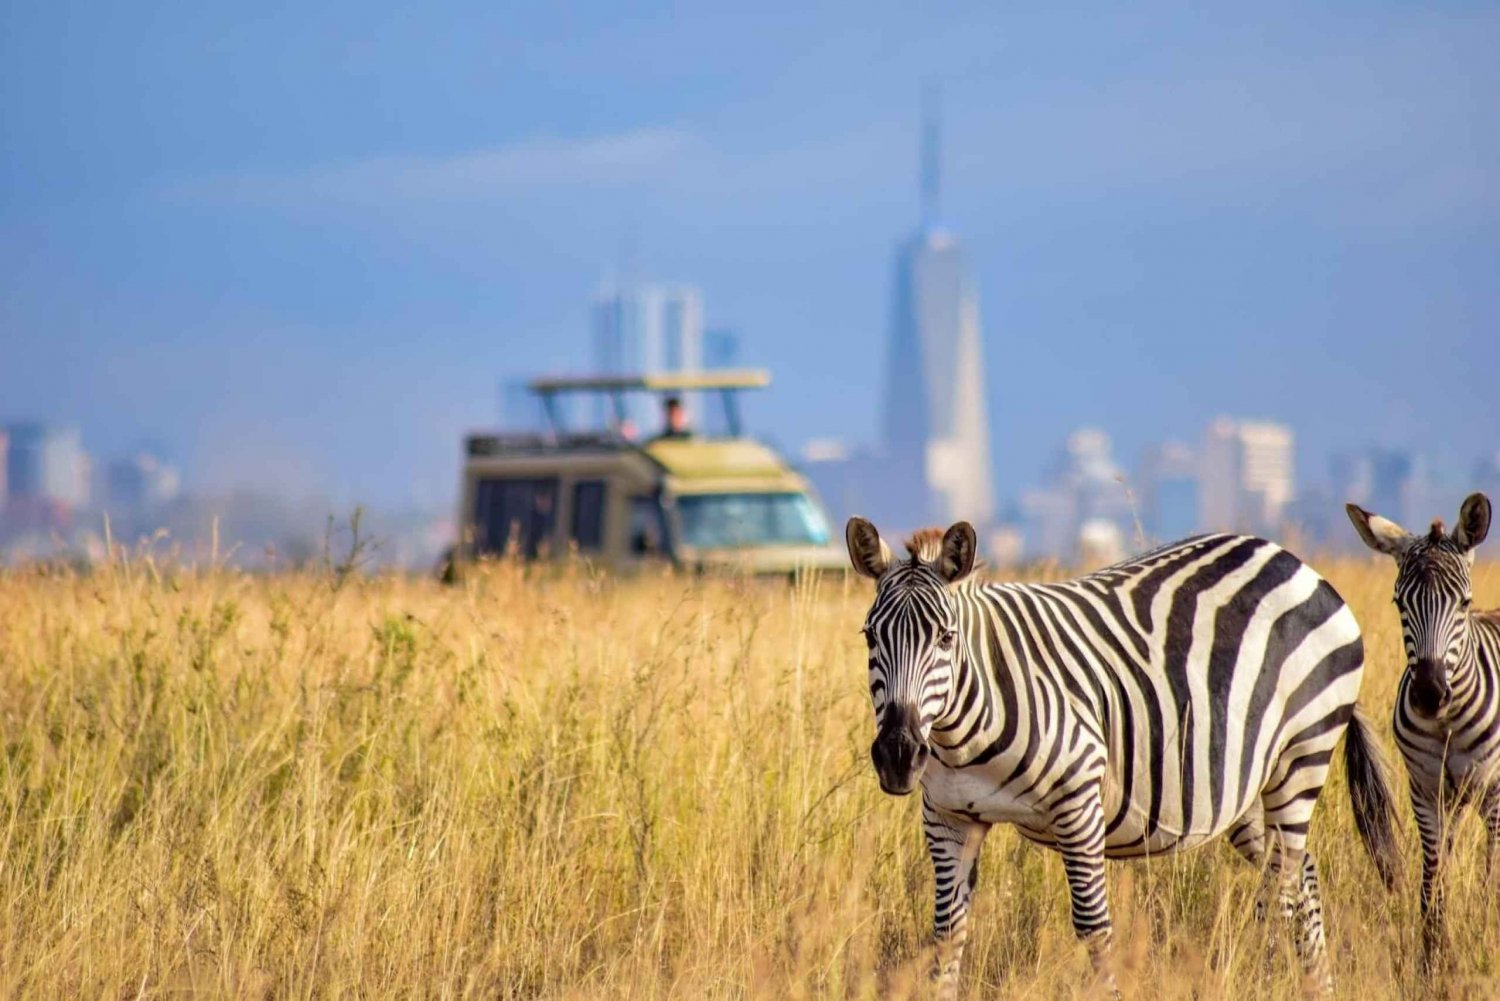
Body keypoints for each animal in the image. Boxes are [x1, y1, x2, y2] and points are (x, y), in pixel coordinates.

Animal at [846, 522, 1404, 996]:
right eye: (870, 637)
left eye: (946, 638)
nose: (898, 755)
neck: (962, 732)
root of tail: (1293, 560)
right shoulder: (948, 817)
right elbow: (946, 934)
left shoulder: (1078, 801)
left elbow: (1094, 929)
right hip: (1240, 785)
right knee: (1301, 870)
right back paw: (1318, 987)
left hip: (1302, 752)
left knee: (1282, 888)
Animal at [1344, 489, 1494, 966]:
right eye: (1399, 603)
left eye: (1463, 602)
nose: (1429, 694)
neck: (1447, 722)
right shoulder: (1425, 790)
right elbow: (1433, 875)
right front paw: (1433, 954)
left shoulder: (1494, 794)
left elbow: (1490, 872)